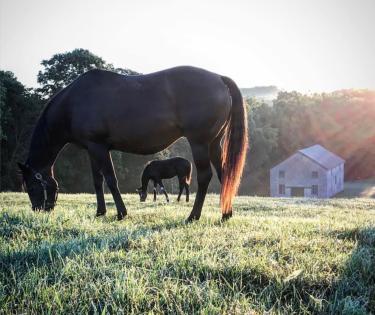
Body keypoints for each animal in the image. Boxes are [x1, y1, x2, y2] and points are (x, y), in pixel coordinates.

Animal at [19, 65, 250, 222]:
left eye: (31, 185)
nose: (40, 209)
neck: (73, 103)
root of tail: (219, 78)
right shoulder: (91, 149)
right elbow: (97, 181)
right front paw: (100, 212)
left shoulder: (99, 148)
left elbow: (111, 179)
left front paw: (121, 213)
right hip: (214, 144)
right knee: (224, 174)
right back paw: (226, 214)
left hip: (199, 143)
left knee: (204, 177)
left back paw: (193, 216)